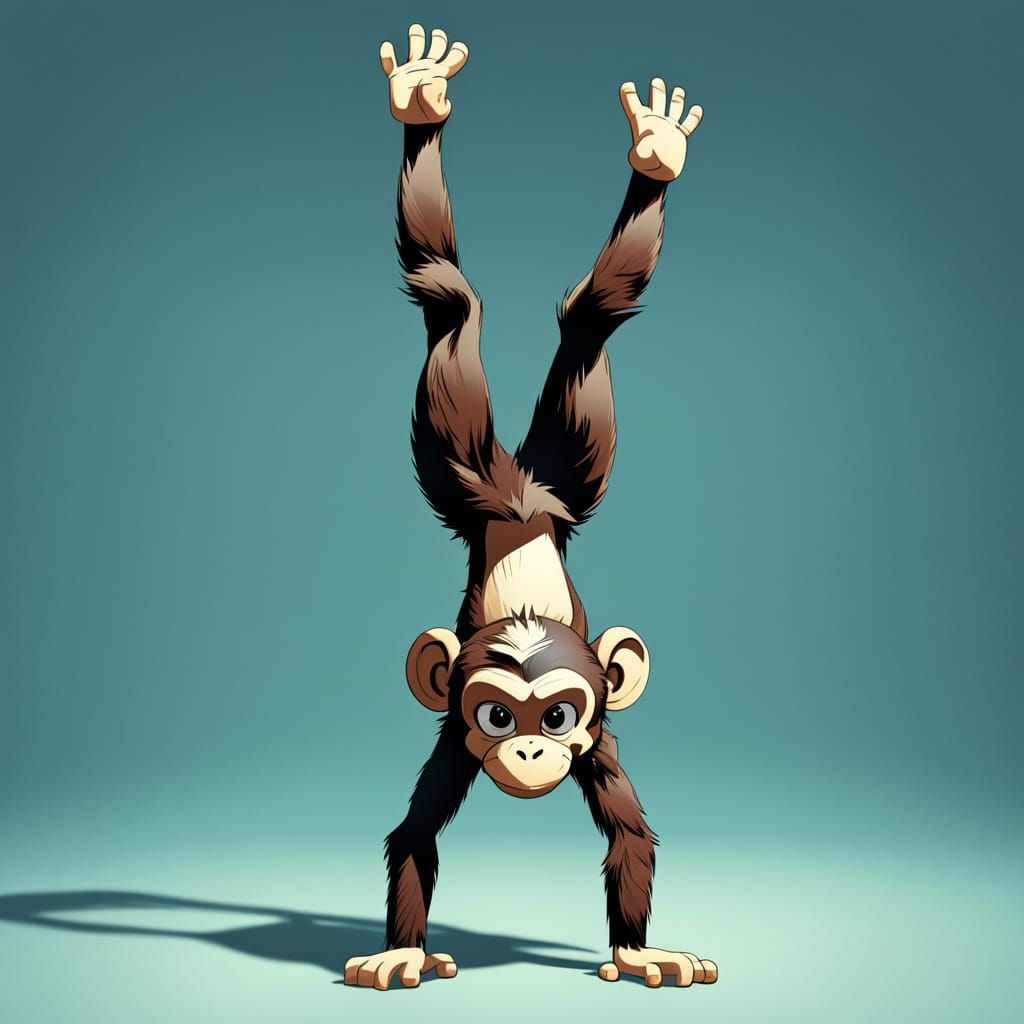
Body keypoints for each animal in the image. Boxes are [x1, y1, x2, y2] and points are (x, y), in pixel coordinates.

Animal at [343, 23, 717, 992]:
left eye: (556, 717)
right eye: (496, 717)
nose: (528, 751)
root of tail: (517, 490)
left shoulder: (604, 735)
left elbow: (630, 830)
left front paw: (640, 948)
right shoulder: (448, 737)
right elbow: (414, 834)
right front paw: (404, 951)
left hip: (575, 456)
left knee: (594, 315)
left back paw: (654, 156)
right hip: (457, 455)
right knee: (446, 294)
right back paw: (422, 105)